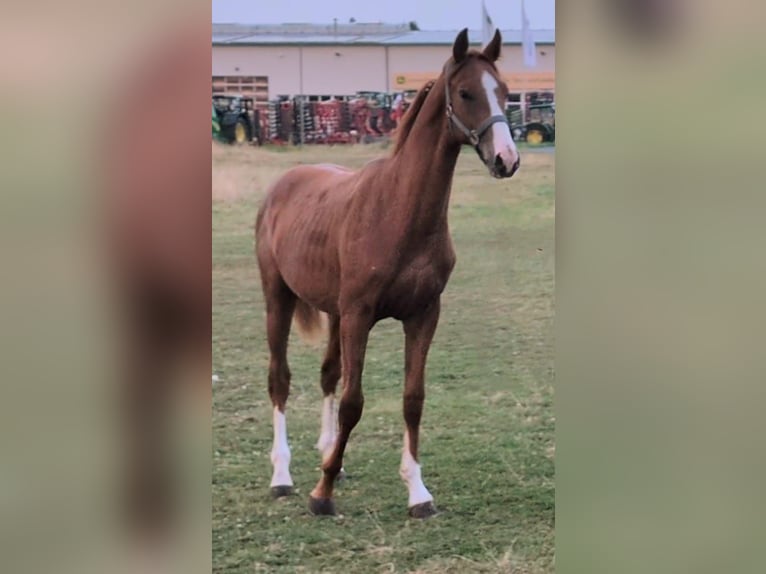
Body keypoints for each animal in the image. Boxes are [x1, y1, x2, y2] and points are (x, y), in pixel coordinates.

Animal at [255, 29, 520, 520]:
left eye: (507, 92)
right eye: (466, 93)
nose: (506, 160)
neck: (398, 211)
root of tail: (283, 184)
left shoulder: (422, 315)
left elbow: (412, 399)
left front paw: (417, 491)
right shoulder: (360, 316)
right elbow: (354, 402)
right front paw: (322, 494)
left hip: (333, 311)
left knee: (327, 374)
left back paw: (330, 455)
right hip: (278, 298)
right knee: (280, 377)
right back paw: (282, 476)